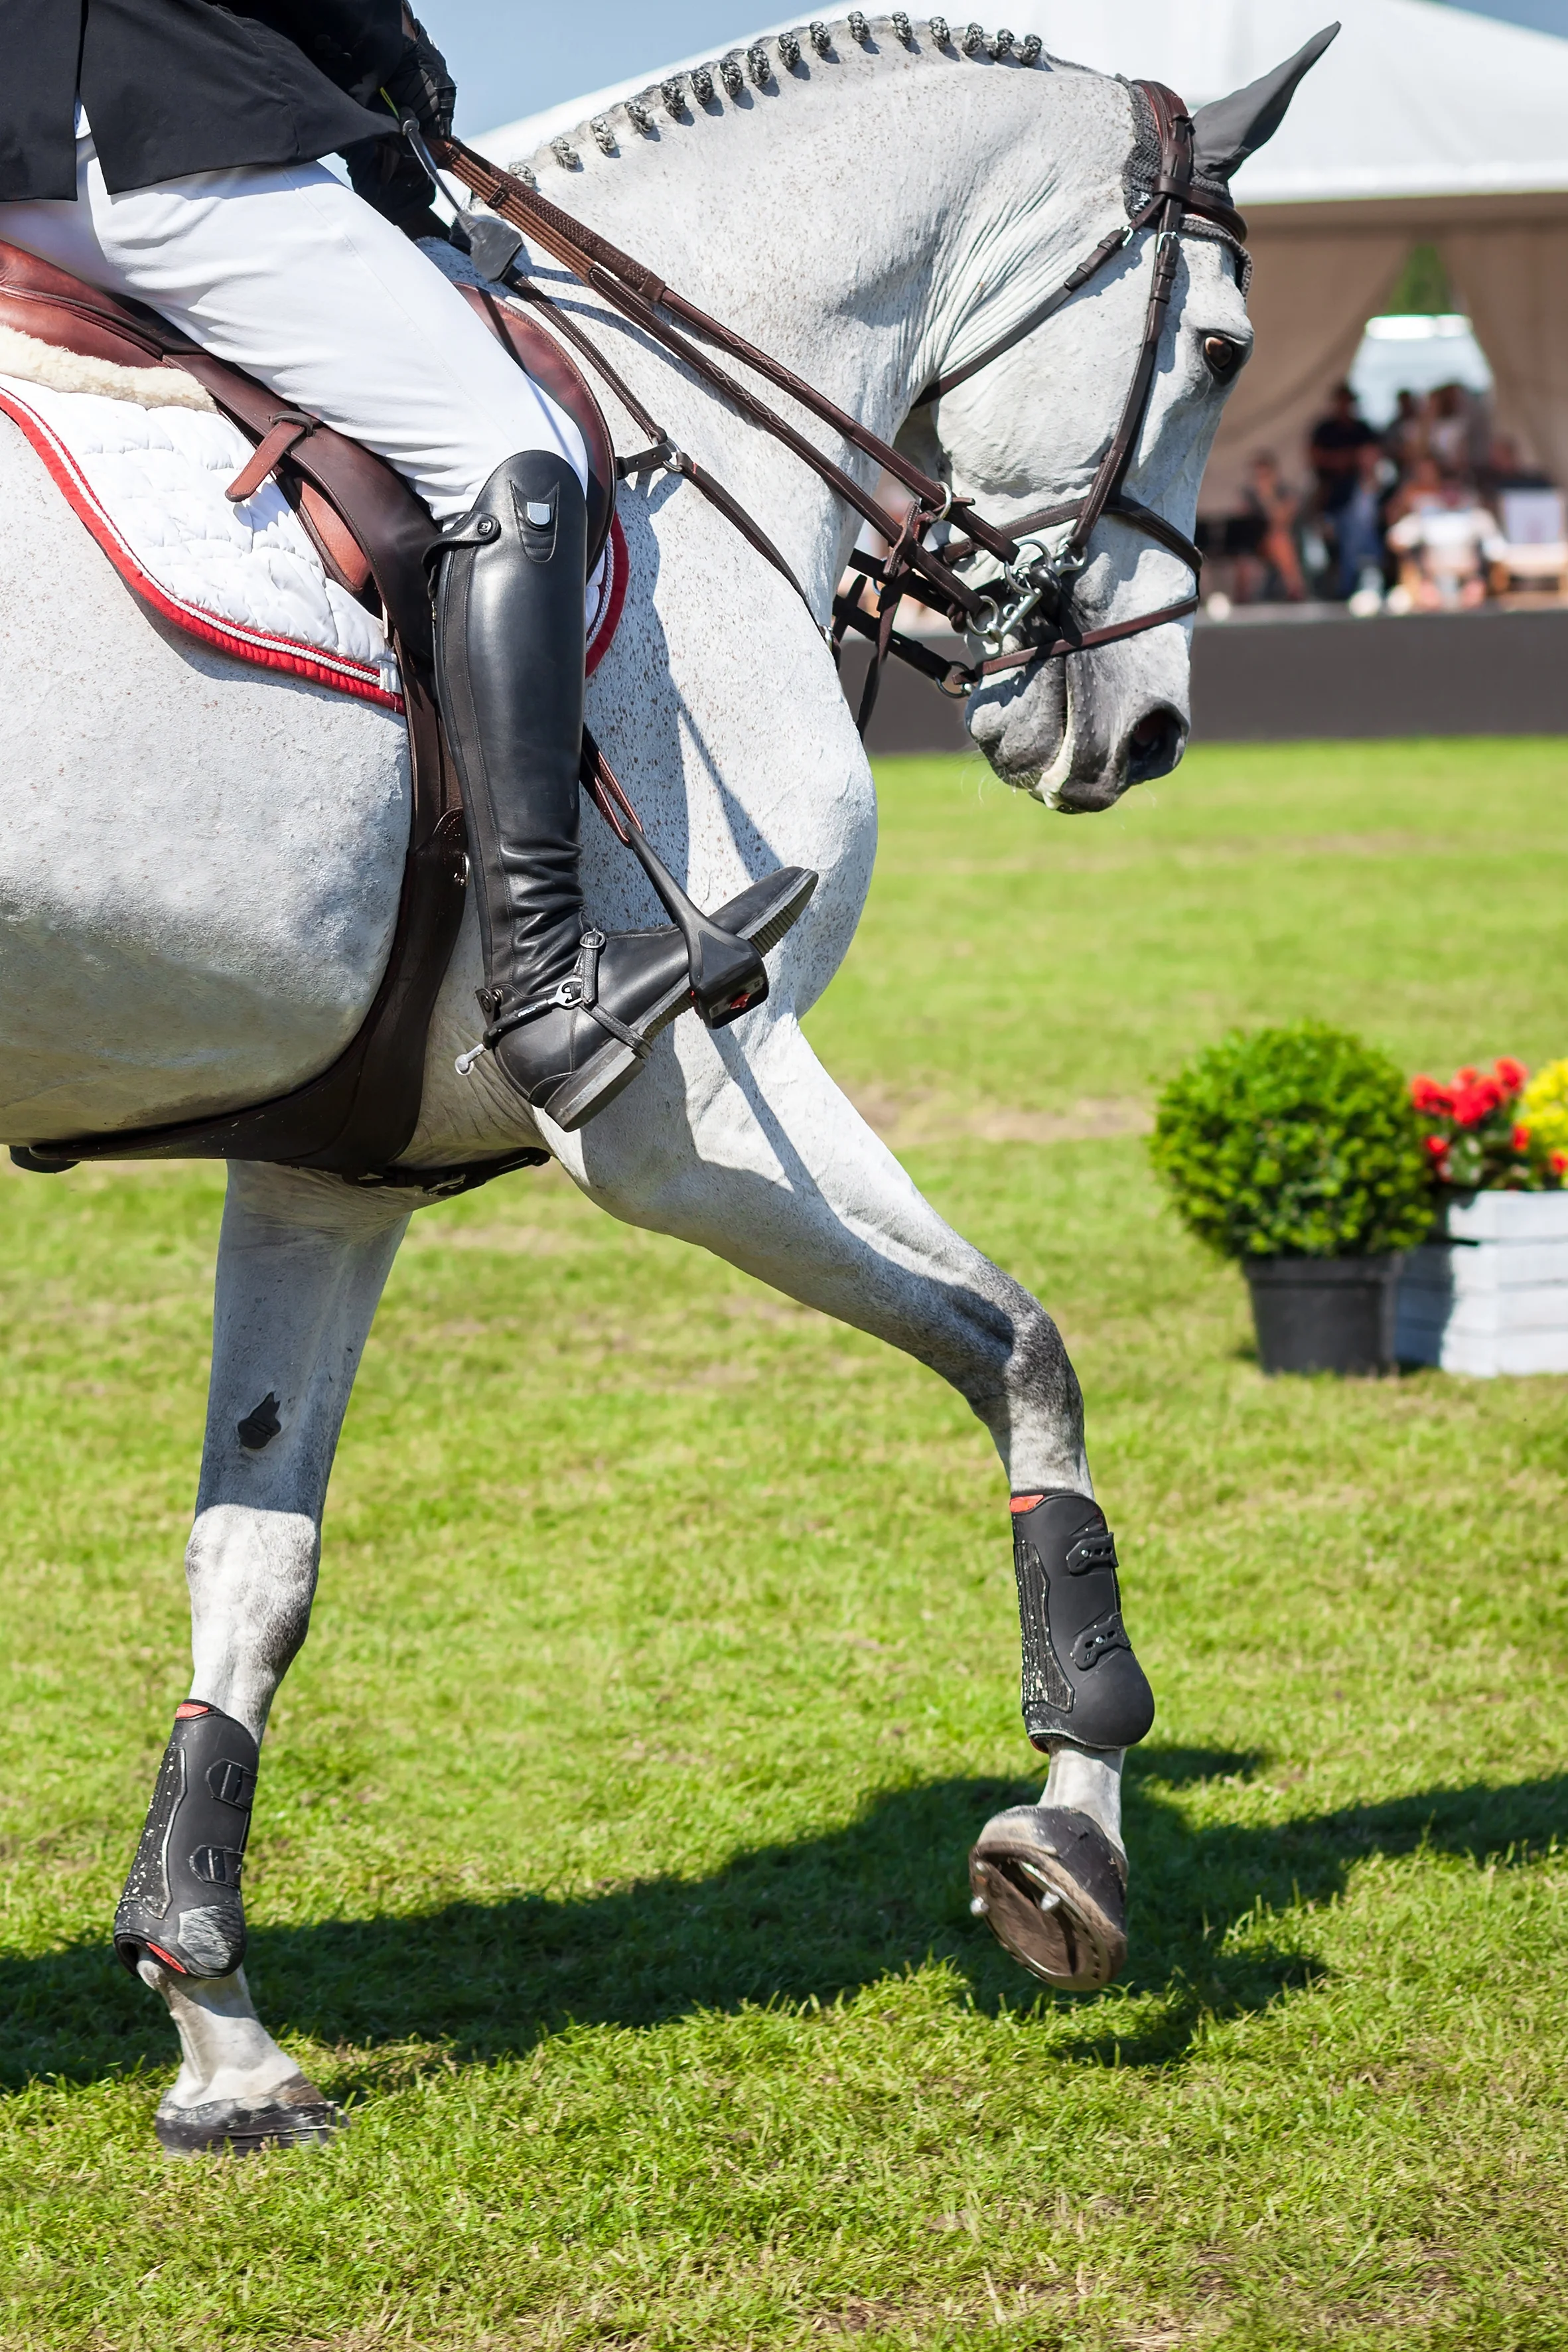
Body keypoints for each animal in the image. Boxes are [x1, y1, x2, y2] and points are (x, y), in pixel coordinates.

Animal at [0, 16, 1320, 2151]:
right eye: (1215, 348)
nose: (1139, 730)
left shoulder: (328, 1169)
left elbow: (254, 1568)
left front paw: (218, 2027)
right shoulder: (688, 1101)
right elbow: (1022, 1350)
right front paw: (1069, 1836)